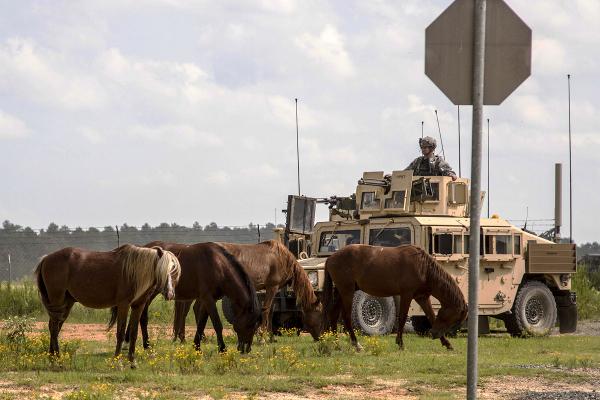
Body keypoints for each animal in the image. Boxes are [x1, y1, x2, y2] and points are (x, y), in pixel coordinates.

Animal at [34, 242, 179, 364]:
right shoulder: (123, 305)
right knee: (54, 327)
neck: (134, 271)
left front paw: (132, 361)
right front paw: (117, 360)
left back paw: (52, 357)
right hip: (57, 300)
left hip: (66, 303)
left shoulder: (138, 306)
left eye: (174, 271)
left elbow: (133, 333)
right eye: (163, 270)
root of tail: (46, 259)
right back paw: (57, 358)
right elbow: (120, 333)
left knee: (55, 326)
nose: (170, 294)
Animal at [173, 239, 324, 342]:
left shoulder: (269, 289)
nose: (320, 337)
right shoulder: (272, 286)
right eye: (318, 313)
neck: (281, 258)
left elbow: (270, 311)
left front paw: (269, 337)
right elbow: (266, 310)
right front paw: (262, 337)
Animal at [324, 244, 468, 350]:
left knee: (333, 315)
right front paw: (400, 343)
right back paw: (356, 344)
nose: (433, 334)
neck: (423, 267)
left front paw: (447, 343)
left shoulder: (422, 297)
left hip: (340, 292)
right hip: (347, 292)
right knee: (346, 317)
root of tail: (330, 258)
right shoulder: (407, 294)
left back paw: (336, 344)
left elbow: (431, 316)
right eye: (454, 317)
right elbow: (403, 318)